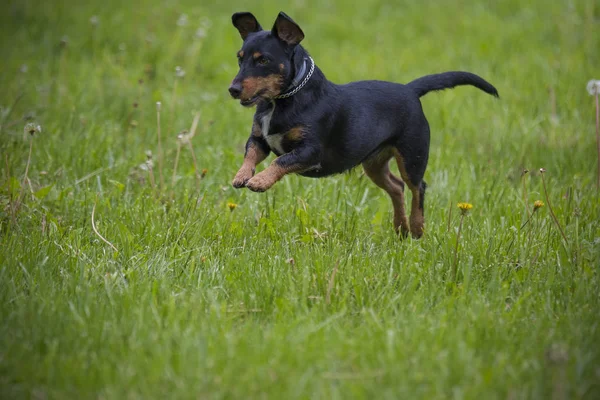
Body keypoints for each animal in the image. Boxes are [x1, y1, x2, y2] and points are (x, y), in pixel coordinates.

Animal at [227, 11, 500, 238]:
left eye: (263, 61)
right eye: (240, 59)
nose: (232, 89)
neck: (282, 101)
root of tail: (410, 90)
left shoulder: (310, 151)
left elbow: (281, 161)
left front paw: (260, 181)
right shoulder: (260, 139)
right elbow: (251, 154)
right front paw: (242, 175)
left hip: (413, 155)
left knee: (417, 188)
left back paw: (416, 227)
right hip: (374, 163)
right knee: (397, 187)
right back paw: (400, 228)